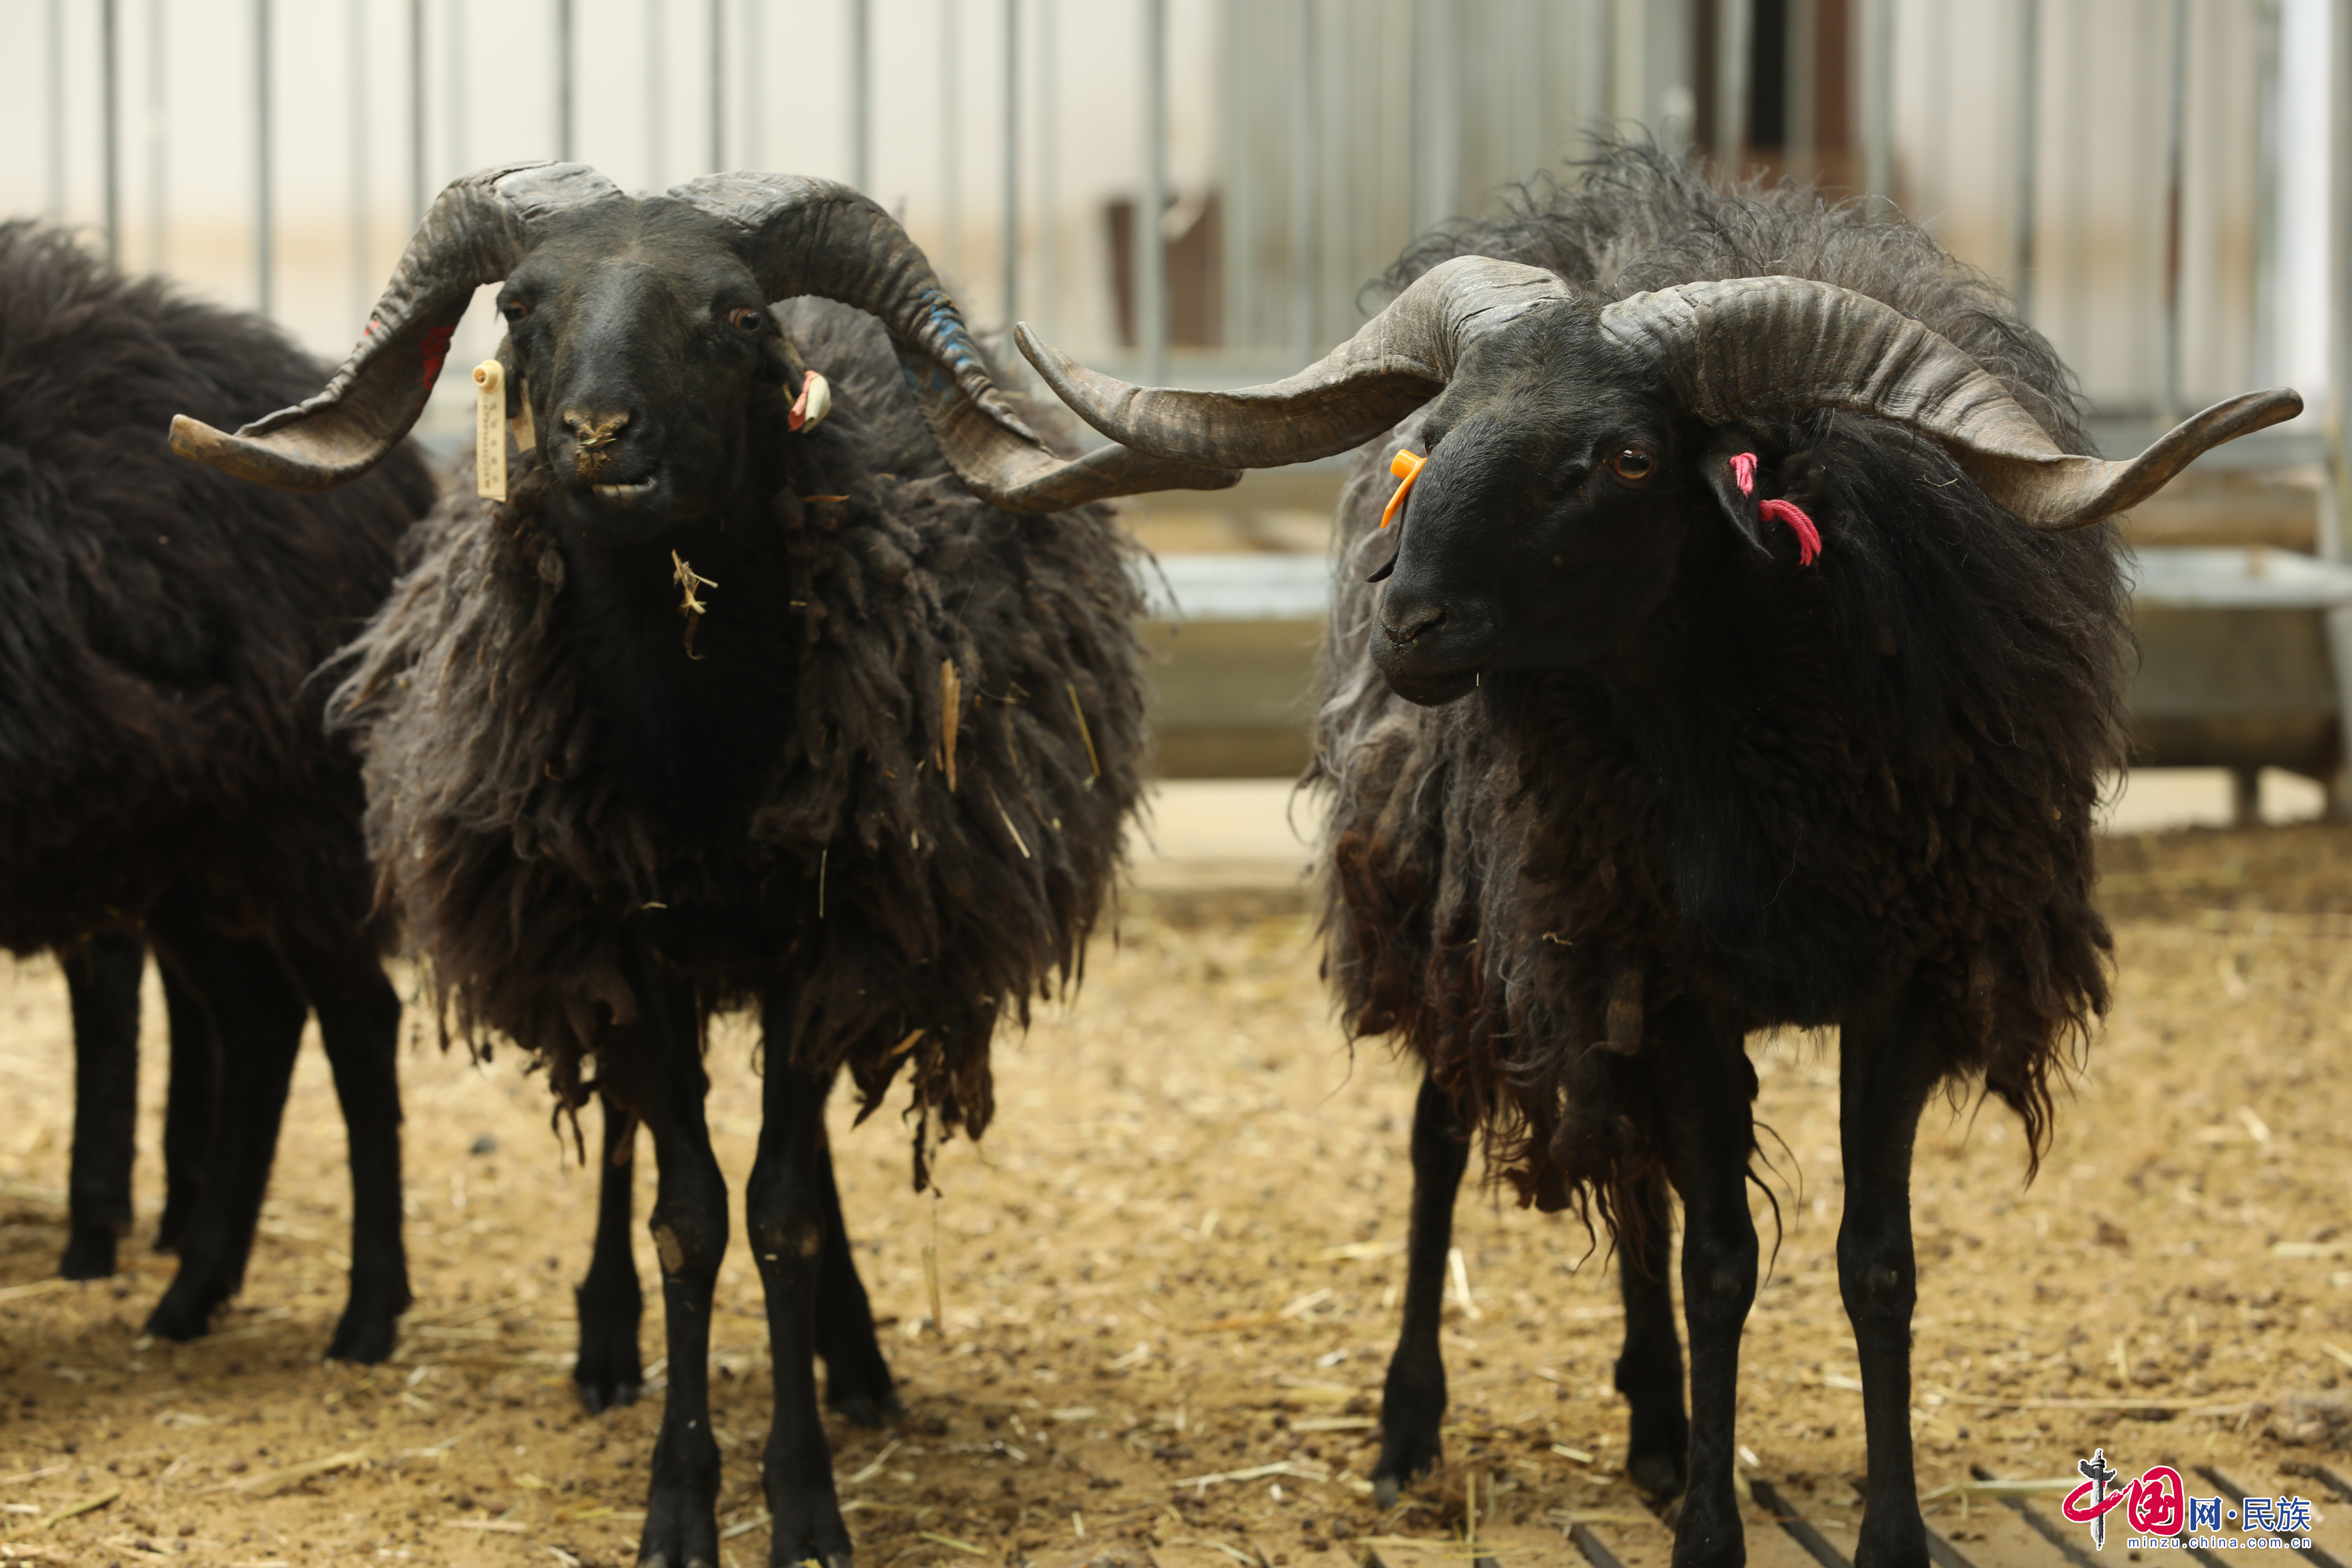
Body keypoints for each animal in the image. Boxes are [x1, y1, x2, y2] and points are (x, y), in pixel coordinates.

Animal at [0, 221, 433, 1363]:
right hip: (179, 843)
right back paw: (192, 1291)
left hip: (298, 816)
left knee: (355, 1022)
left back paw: (368, 1311)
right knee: (260, 1021)